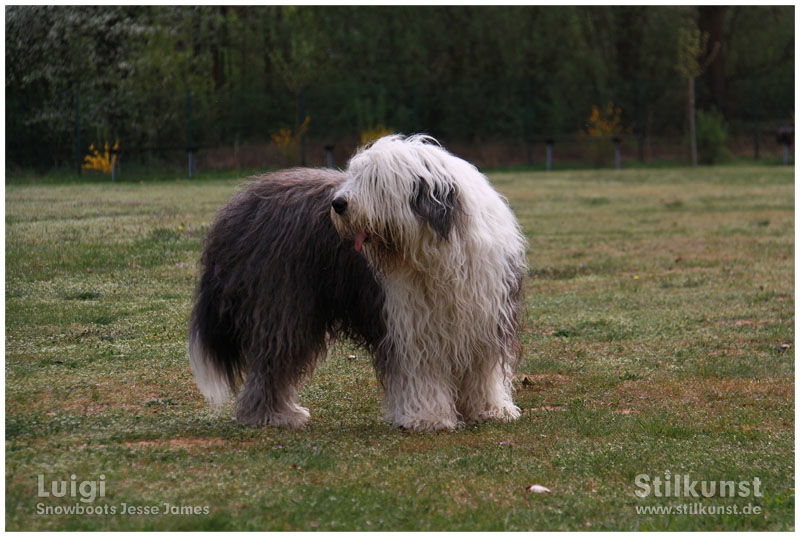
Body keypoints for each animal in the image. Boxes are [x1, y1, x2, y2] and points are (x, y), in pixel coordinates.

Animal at [191, 135, 528, 432]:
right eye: (354, 176)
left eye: (376, 181)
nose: (338, 204)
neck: (434, 249)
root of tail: (238, 206)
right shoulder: (411, 325)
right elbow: (423, 371)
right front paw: (428, 417)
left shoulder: (485, 315)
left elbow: (483, 370)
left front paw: (489, 410)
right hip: (282, 304)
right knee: (272, 361)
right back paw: (272, 415)